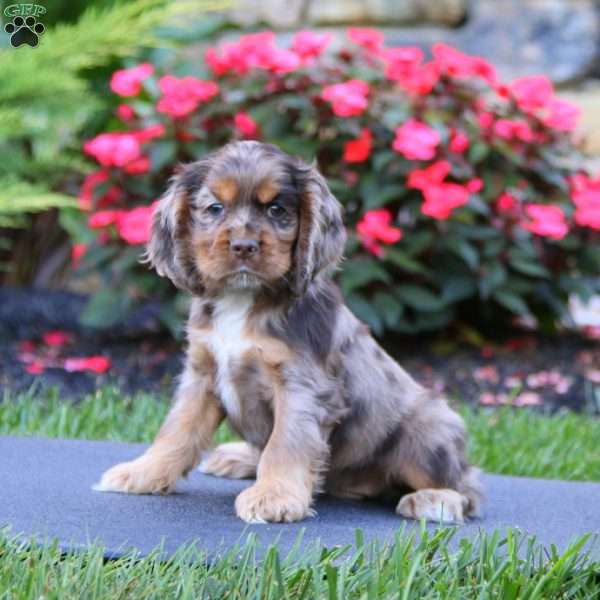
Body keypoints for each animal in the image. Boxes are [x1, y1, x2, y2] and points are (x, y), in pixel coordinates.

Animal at [98, 142, 482, 524]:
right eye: (215, 208)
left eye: (277, 210)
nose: (243, 245)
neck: (243, 299)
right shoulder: (201, 375)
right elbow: (177, 429)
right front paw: (142, 473)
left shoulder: (301, 386)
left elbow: (285, 443)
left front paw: (273, 497)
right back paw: (240, 457)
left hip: (428, 431)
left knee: (469, 489)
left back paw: (434, 499)